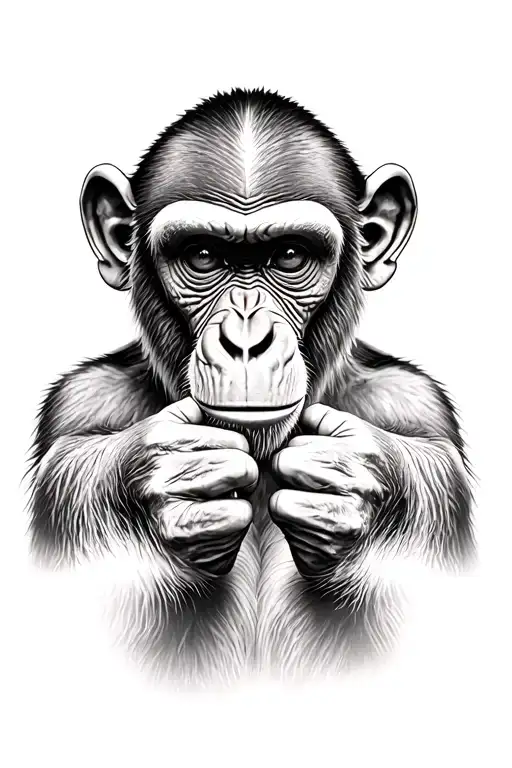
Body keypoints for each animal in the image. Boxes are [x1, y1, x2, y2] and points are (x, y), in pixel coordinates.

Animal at [28, 88, 475, 685]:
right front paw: (160, 485)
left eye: (289, 255)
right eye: (202, 256)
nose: (246, 337)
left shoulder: (417, 409)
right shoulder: (80, 405)